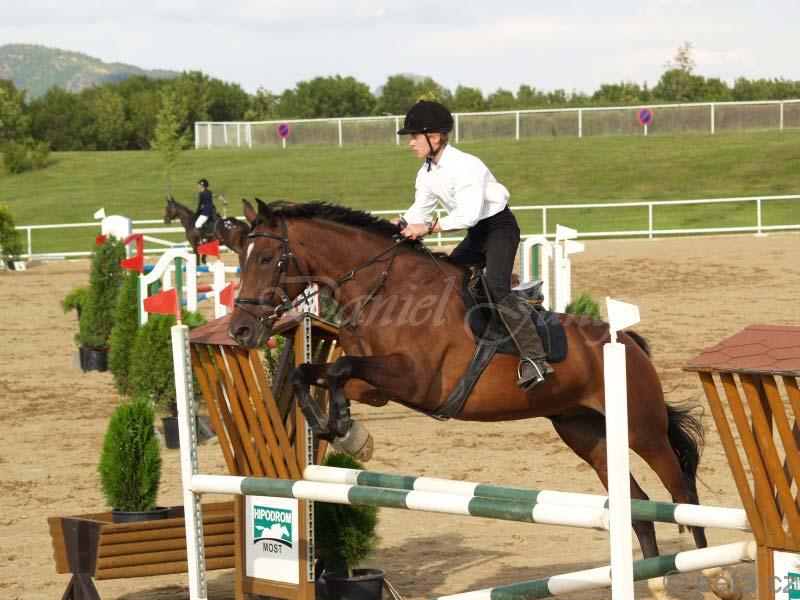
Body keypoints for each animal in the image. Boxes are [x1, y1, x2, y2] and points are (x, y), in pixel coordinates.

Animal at [228, 199, 707, 566]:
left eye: (267, 259)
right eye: (239, 260)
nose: (240, 331)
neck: (385, 288)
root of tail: (629, 343)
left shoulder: (416, 379)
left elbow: (339, 370)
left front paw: (345, 430)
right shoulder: (382, 388)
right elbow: (318, 374)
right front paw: (340, 429)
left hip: (643, 431)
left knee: (681, 492)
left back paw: (703, 568)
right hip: (586, 434)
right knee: (639, 508)